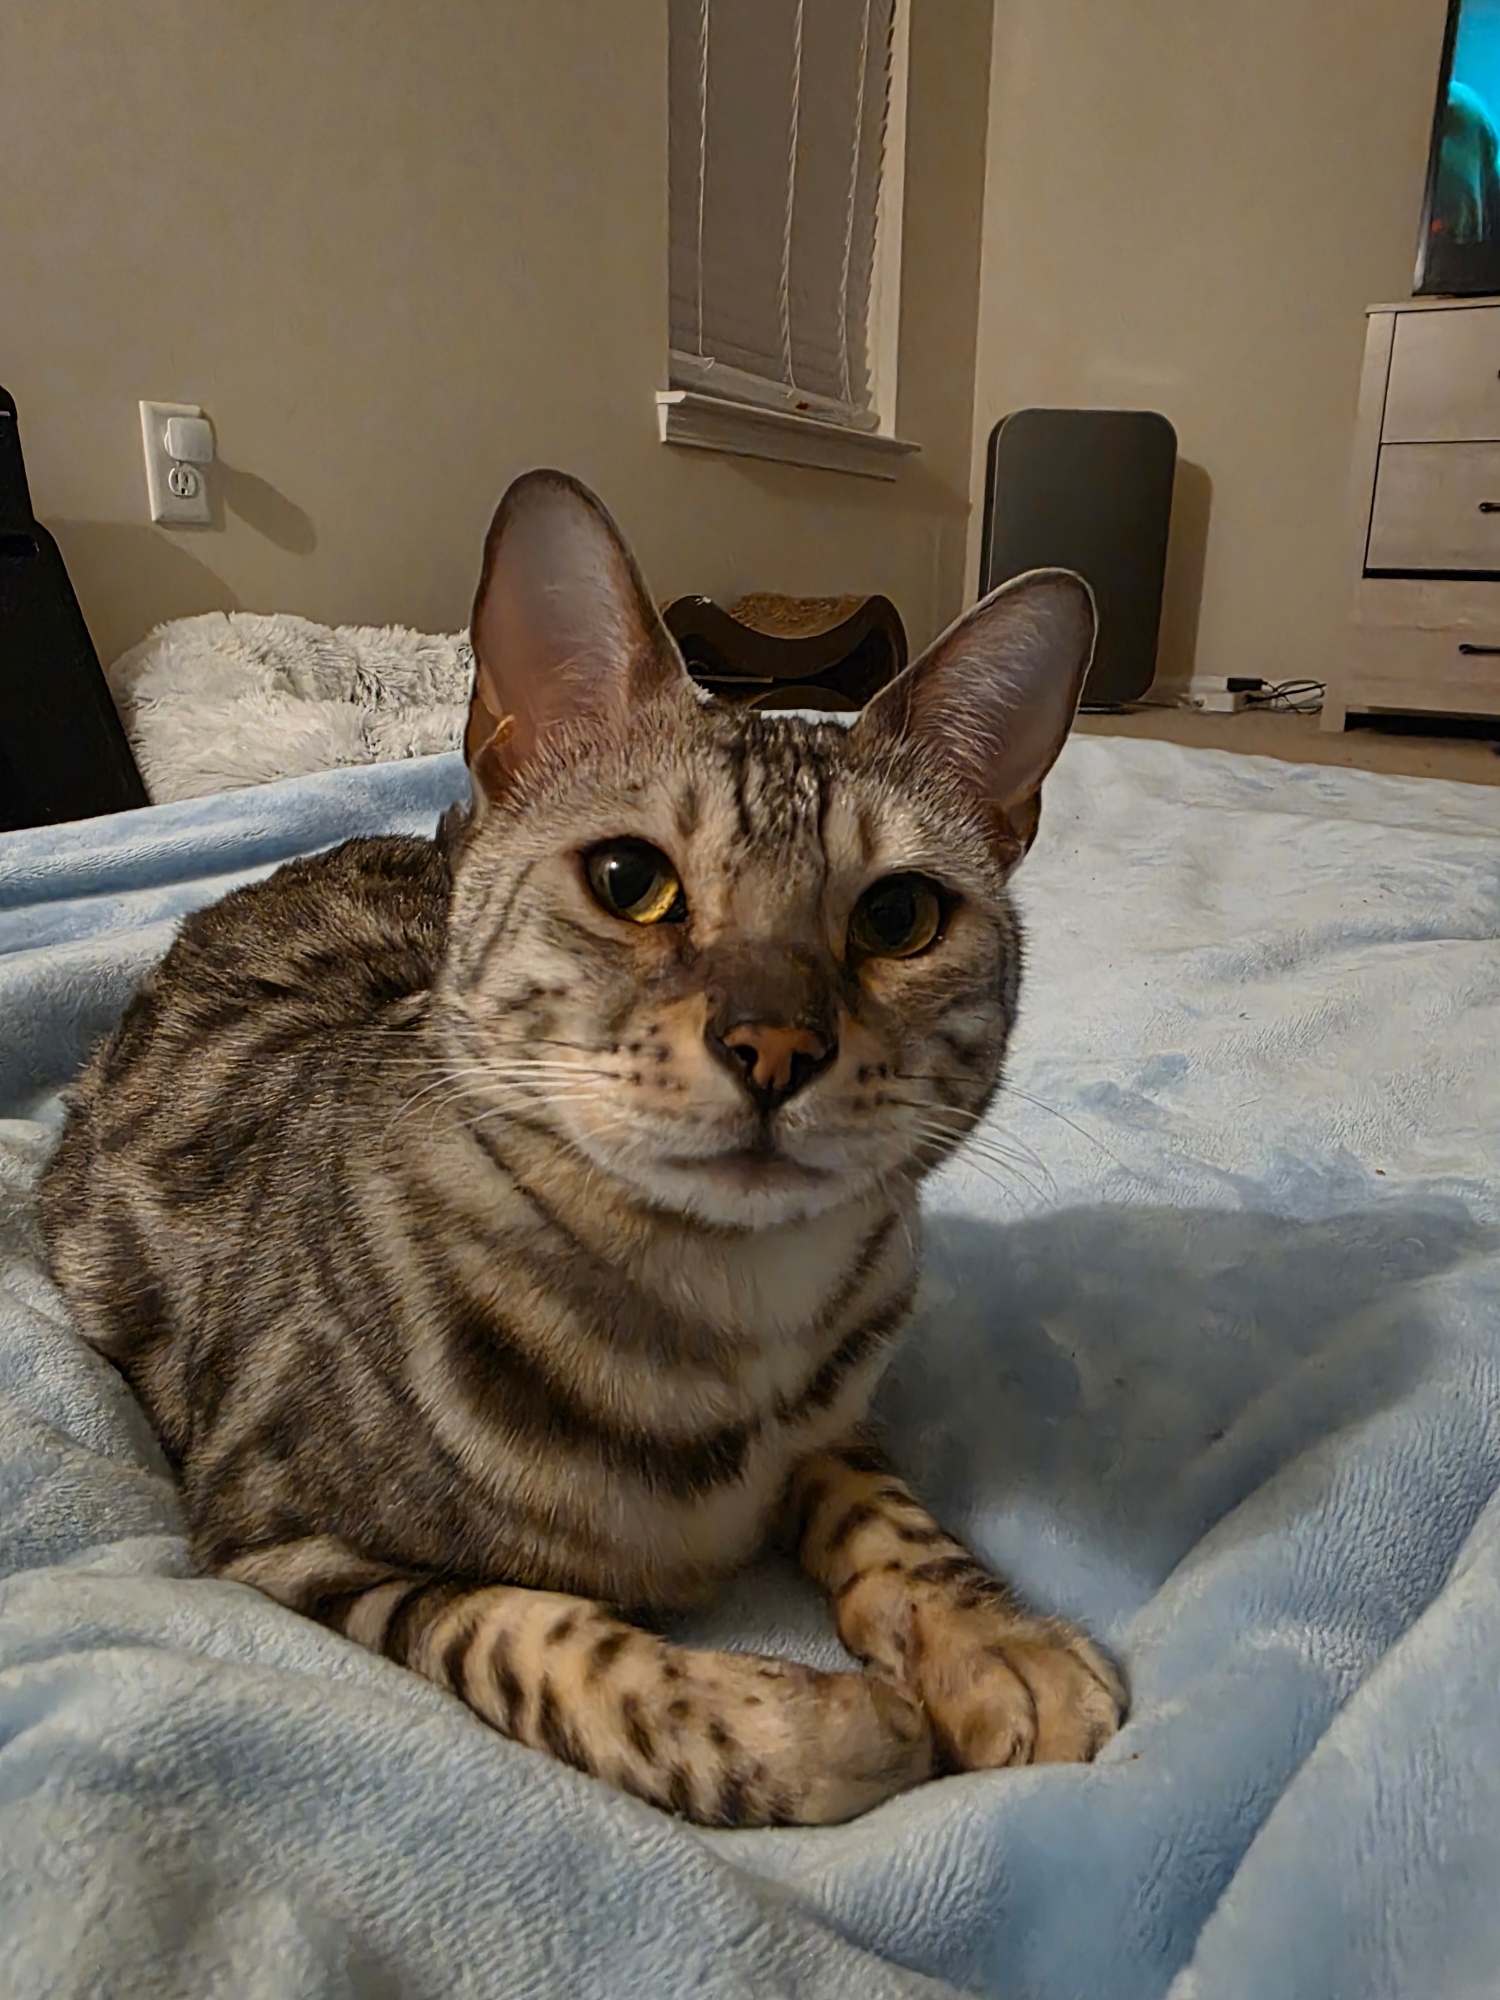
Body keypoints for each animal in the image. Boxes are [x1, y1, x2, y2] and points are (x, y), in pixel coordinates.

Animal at [41, 470, 1123, 1827]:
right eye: (629, 878)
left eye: (899, 914)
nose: (776, 1042)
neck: (731, 1318)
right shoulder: (272, 1531)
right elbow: (542, 1639)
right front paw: (809, 1721)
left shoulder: (843, 1413)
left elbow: (890, 1511)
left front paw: (1003, 1644)